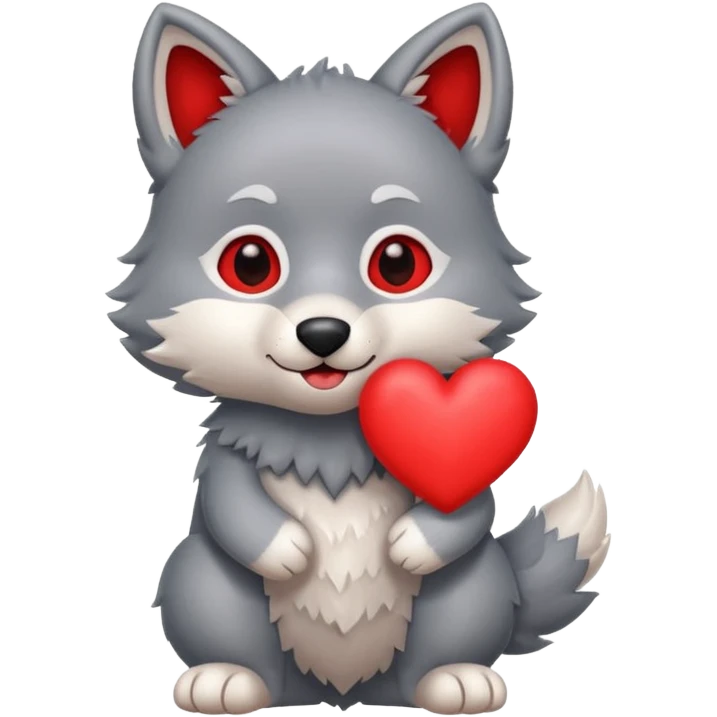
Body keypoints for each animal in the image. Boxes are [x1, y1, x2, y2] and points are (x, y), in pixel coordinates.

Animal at [116, 2, 612, 714]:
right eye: (249, 264)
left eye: (398, 264)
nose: (323, 332)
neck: (327, 433)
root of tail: (342, 691)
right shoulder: (227, 460)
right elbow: (228, 504)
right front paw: (288, 549)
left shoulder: (458, 466)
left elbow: (469, 508)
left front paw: (412, 545)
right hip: (202, 582)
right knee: (233, 636)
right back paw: (226, 679)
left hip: (472, 592)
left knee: (446, 642)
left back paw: (456, 680)